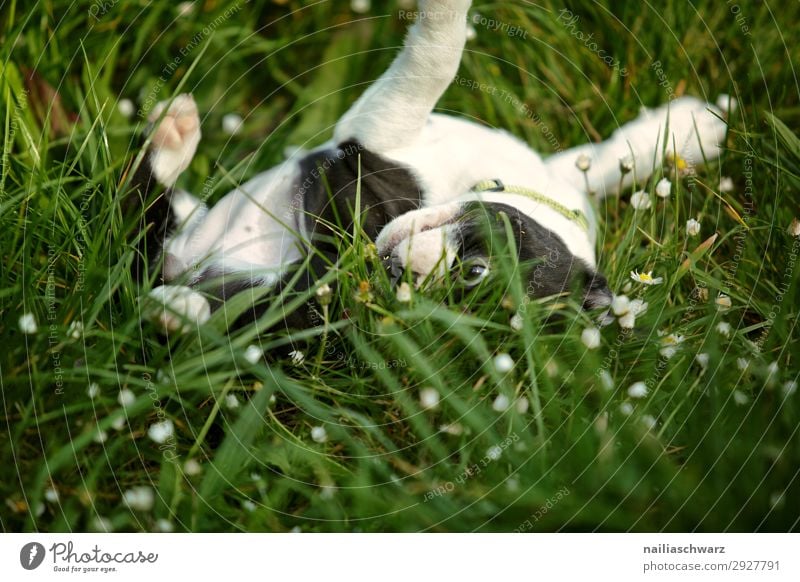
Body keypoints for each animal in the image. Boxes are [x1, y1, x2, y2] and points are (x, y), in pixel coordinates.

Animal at [128, 0, 728, 338]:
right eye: (478, 270)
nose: (402, 276)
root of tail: (179, 263)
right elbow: (606, 160)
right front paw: (687, 130)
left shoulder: (373, 142)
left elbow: (436, 56)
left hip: (204, 276)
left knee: (144, 225)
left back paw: (178, 301)